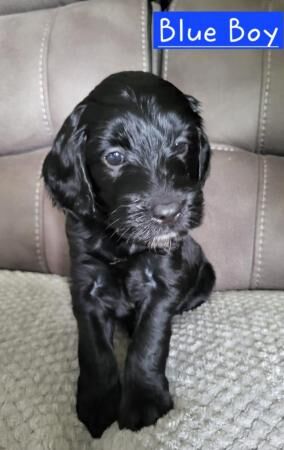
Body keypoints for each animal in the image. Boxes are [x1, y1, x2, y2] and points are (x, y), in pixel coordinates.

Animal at [42, 72, 215, 438]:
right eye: (114, 157)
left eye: (182, 146)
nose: (169, 212)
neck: (122, 241)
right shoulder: (87, 283)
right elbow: (94, 350)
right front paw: (97, 403)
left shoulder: (163, 281)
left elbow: (149, 341)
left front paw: (144, 401)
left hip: (206, 273)